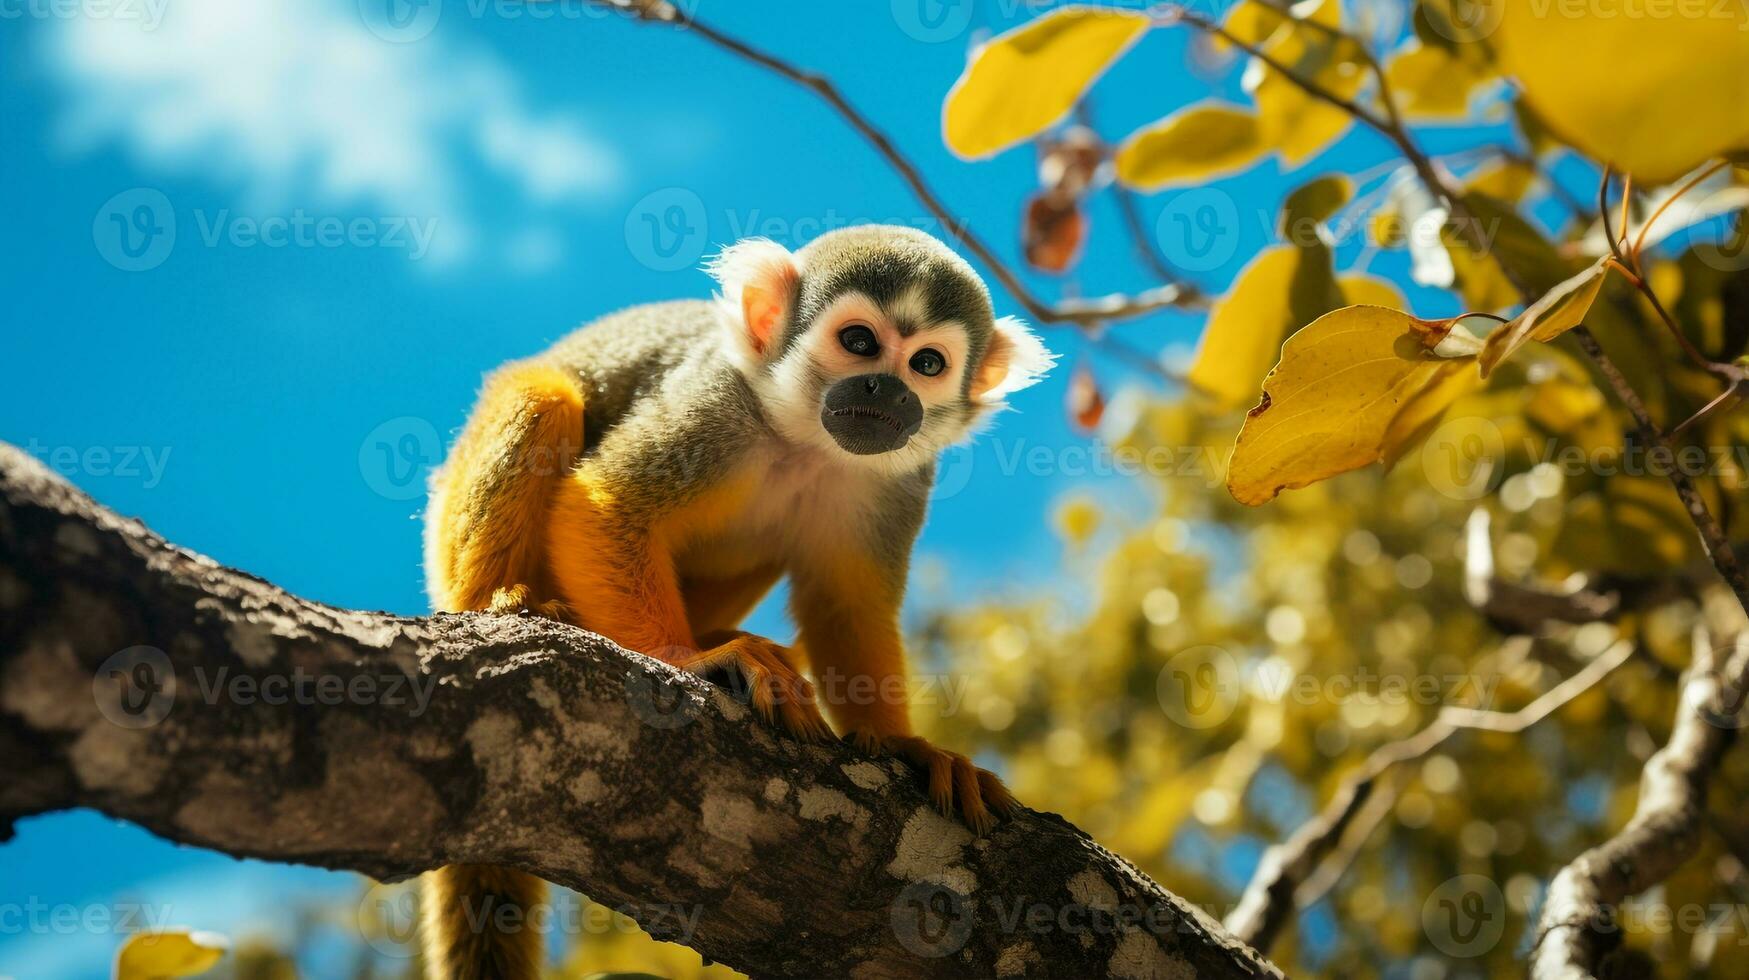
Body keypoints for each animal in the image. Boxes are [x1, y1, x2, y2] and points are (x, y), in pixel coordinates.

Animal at [423, 225, 1049, 973]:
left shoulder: (900, 479)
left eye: (927, 362)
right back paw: (506, 602)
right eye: (860, 342)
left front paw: (907, 745)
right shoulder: (712, 407)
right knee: (544, 394)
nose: (887, 388)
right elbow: (603, 504)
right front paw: (685, 658)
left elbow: (851, 604)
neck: (805, 441)